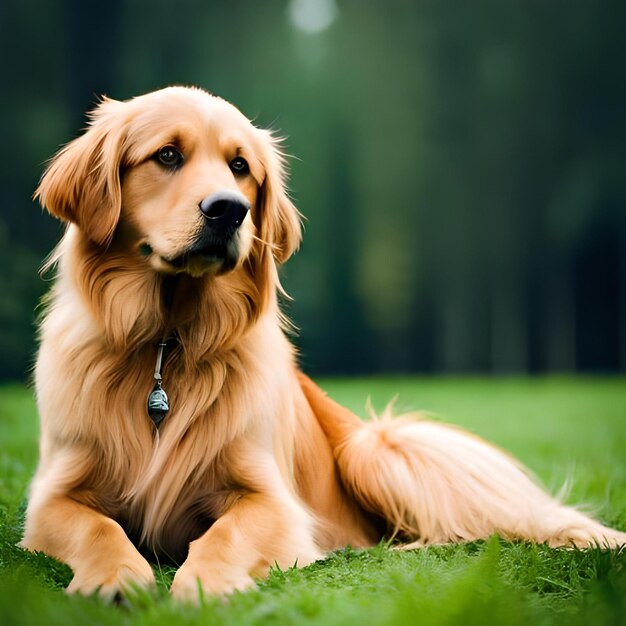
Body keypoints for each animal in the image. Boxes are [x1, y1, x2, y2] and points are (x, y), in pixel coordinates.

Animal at [20, 86, 624, 600]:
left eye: (240, 167)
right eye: (167, 155)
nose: (229, 210)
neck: (168, 343)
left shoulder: (271, 500)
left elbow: (224, 533)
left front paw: (206, 584)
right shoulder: (52, 495)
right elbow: (97, 528)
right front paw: (116, 577)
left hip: (378, 449)